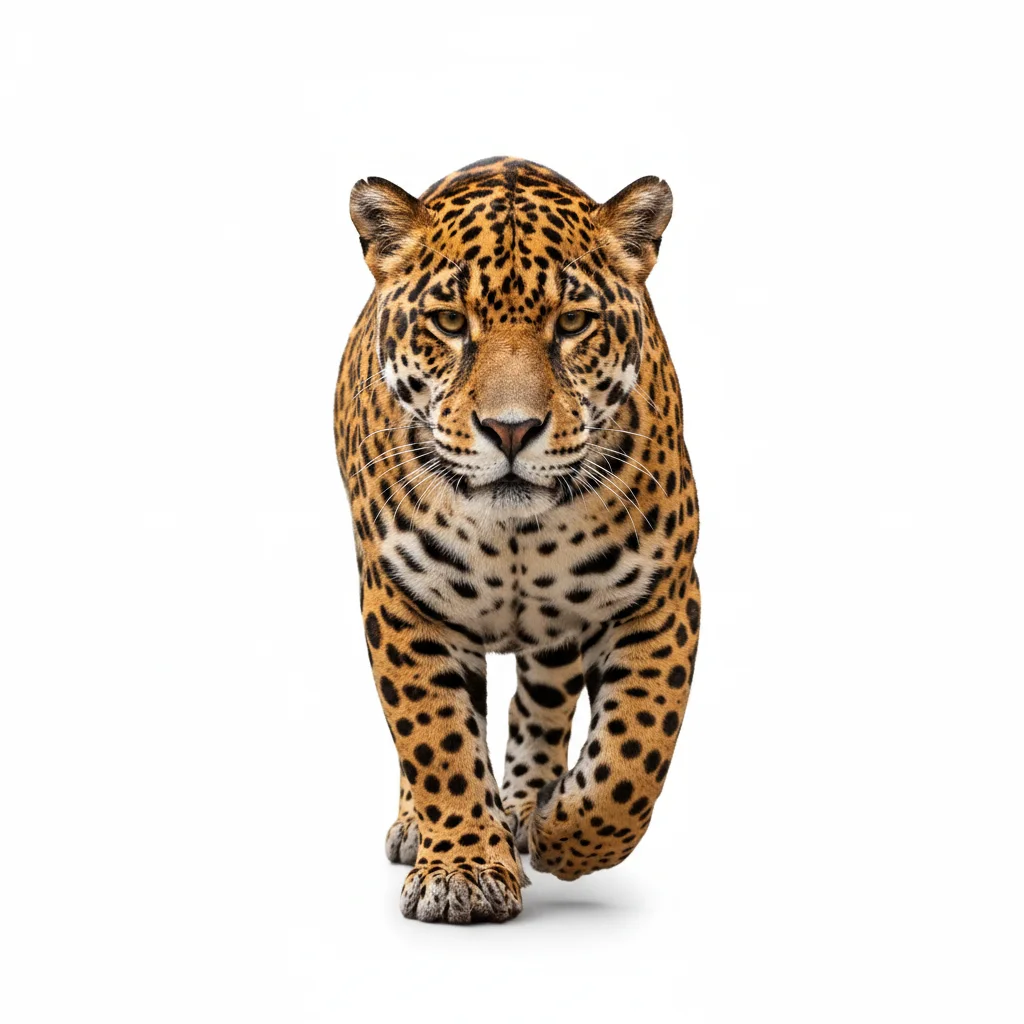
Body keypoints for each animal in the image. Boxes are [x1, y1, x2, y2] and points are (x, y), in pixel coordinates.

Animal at [334, 157, 700, 924]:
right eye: (449, 322)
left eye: (573, 323)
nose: (510, 430)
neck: (516, 535)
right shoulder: (400, 600)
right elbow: (436, 740)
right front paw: (464, 868)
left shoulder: (663, 595)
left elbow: (633, 755)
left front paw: (562, 835)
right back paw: (424, 824)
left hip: (557, 636)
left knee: (540, 705)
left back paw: (528, 805)